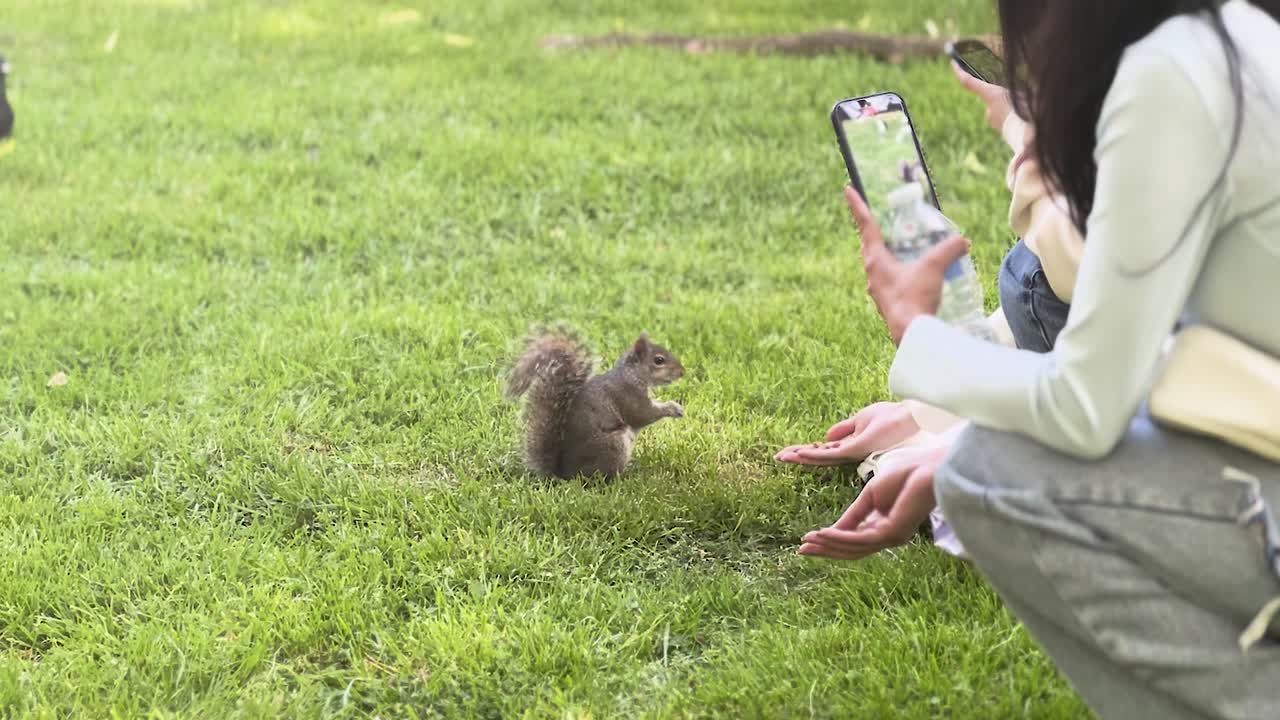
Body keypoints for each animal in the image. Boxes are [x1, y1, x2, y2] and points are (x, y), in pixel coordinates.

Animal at [505, 329, 685, 479]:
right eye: (659, 360)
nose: (682, 372)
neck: (632, 374)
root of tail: (564, 474)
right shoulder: (628, 395)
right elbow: (643, 414)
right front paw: (673, 408)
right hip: (614, 445)